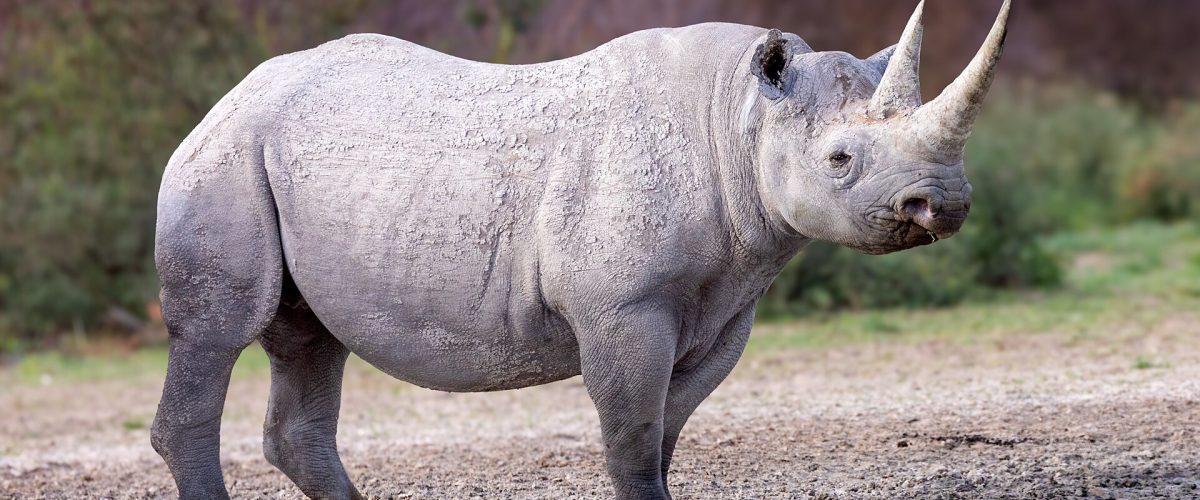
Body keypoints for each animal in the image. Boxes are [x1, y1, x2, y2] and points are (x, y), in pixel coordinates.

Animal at [151, 1, 1011, 498]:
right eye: (839, 160)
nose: (943, 204)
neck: (739, 117)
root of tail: (225, 99)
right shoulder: (622, 307)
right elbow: (630, 442)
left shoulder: (726, 307)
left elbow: (664, 437)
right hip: (223, 159)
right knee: (221, 330)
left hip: (279, 162)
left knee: (308, 338)